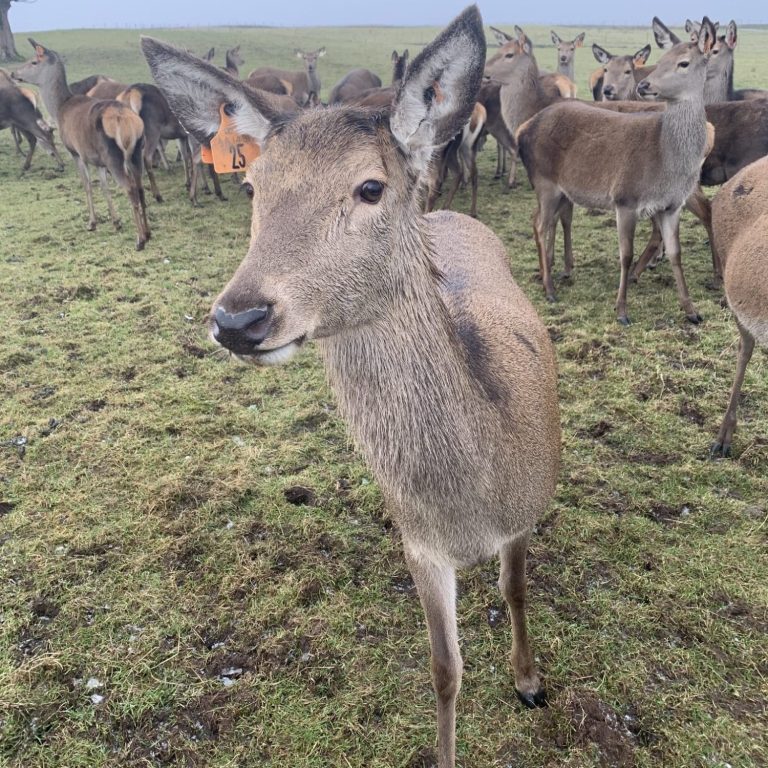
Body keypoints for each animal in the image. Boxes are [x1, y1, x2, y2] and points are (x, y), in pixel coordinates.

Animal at [14, 39, 149, 250]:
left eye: (33, 62)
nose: (13, 73)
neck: (59, 108)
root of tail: (126, 121)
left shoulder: (76, 152)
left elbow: (87, 184)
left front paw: (92, 223)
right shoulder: (98, 159)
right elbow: (104, 186)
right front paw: (116, 221)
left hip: (114, 156)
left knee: (130, 188)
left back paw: (140, 239)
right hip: (136, 150)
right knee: (141, 187)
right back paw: (148, 233)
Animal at [141, 7, 561, 768]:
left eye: (371, 187)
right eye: (252, 187)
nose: (239, 318)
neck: (472, 502)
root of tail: (444, 213)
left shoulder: (526, 511)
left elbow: (515, 592)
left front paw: (529, 682)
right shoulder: (418, 543)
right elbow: (444, 670)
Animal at [517, 17, 718, 324]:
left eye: (683, 63)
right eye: (660, 61)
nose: (645, 84)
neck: (667, 163)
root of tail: (522, 129)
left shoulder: (671, 206)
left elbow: (675, 253)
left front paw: (691, 310)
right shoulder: (625, 199)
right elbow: (625, 254)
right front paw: (622, 310)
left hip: (559, 189)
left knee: (541, 219)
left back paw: (548, 274)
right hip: (544, 181)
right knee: (540, 224)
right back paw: (550, 289)